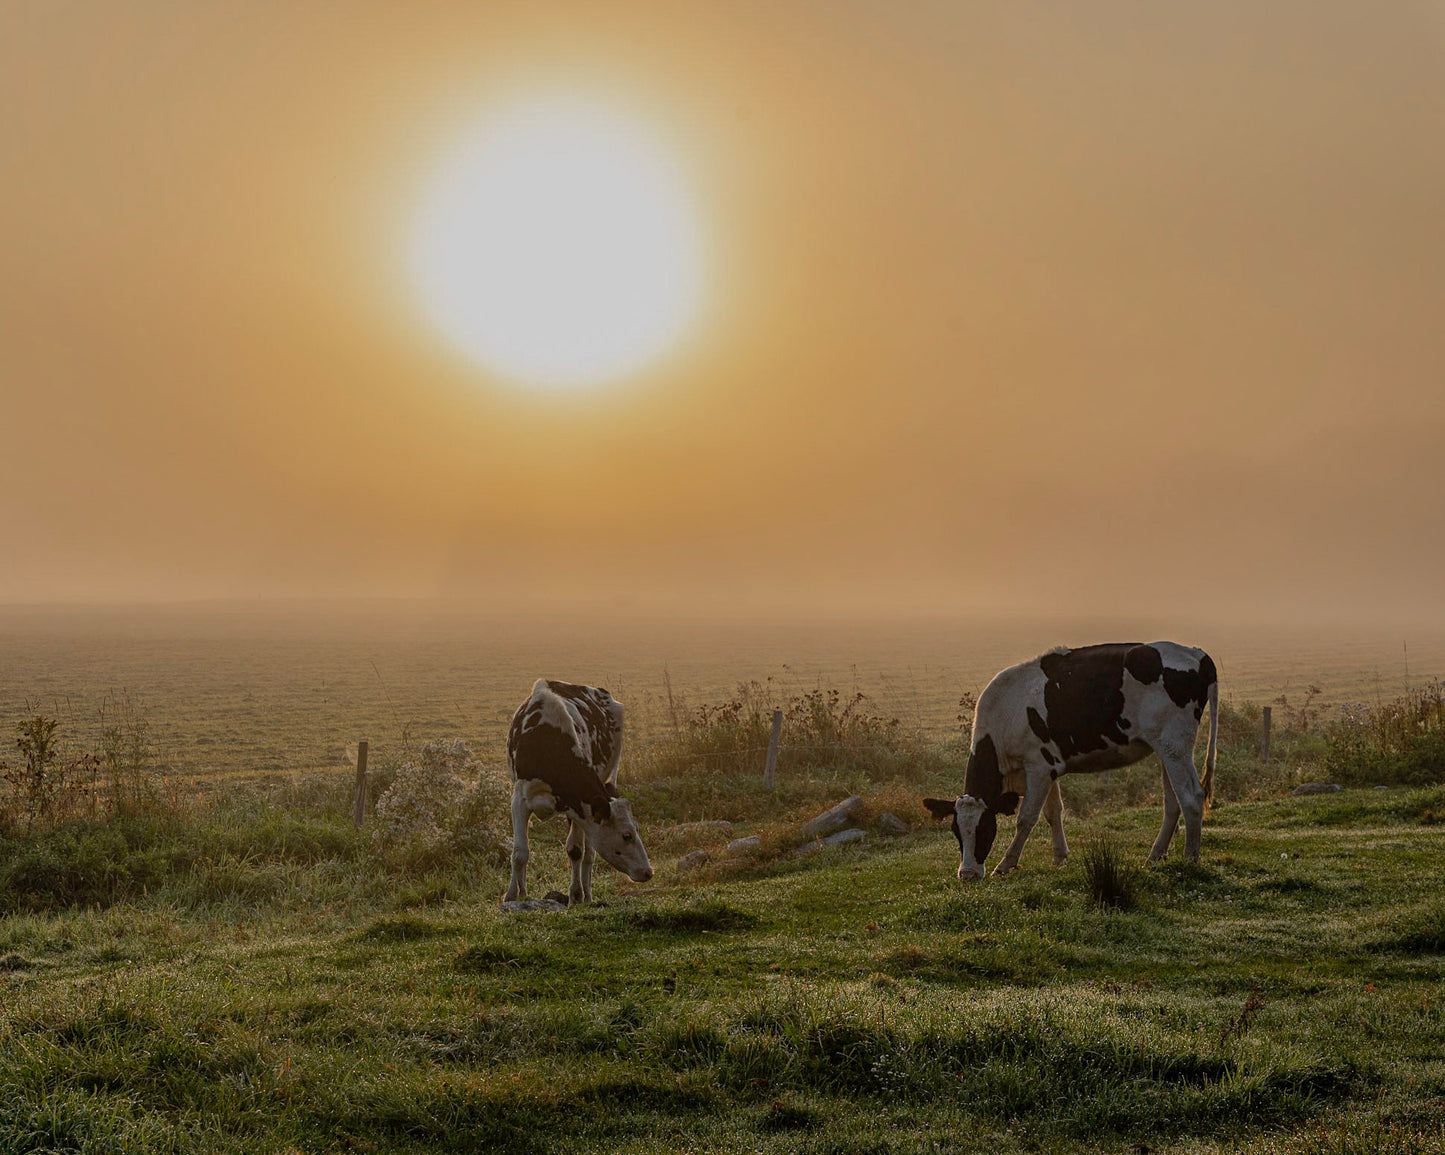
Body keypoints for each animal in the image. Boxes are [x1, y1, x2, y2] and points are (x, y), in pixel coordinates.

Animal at [503, 679, 653, 906]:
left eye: (637, 829)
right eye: (626, 835)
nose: (648, 872)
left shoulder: (576, 807)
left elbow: (576, 851)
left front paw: (575, 895)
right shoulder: (519, 800)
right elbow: (520, 852)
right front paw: (515, 894)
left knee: (589, 853)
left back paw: (587, 894)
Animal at [924, 642, 1218, 880]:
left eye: (985, 829)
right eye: (956, 831)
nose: (968, 874)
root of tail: (1195, 652)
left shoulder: (1038, 766)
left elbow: (1026, 817)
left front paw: (1006, 864)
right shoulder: (1048, 766)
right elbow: (1053, 812)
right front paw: (1059, 857)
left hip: (1176, 746)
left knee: (1191, 797)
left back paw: (1190, 858)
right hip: (1166, 749)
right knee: (1173, 803)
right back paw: (1155, 855)